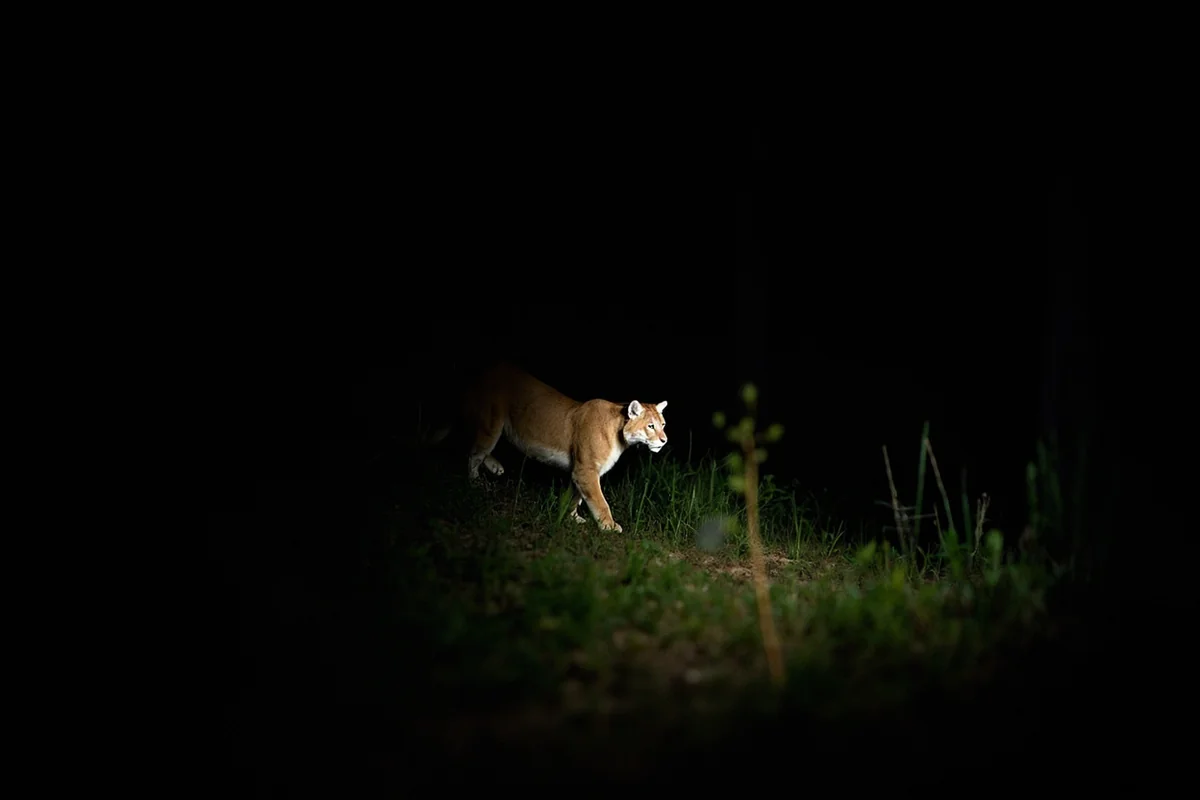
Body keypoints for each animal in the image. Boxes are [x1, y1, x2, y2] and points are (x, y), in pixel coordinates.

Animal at [427, 362, 668, 532]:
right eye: (650, 426)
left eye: (663, 424)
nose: (664, 440)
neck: (620, 434)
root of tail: (481, 373)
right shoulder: (586, 470)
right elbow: (599, 502)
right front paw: (609, 526)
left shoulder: (580, 471)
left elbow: (575, 497)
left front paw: (572, 518)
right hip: (491, 424)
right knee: (474, 451)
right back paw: (476, 481)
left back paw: (496, 468)